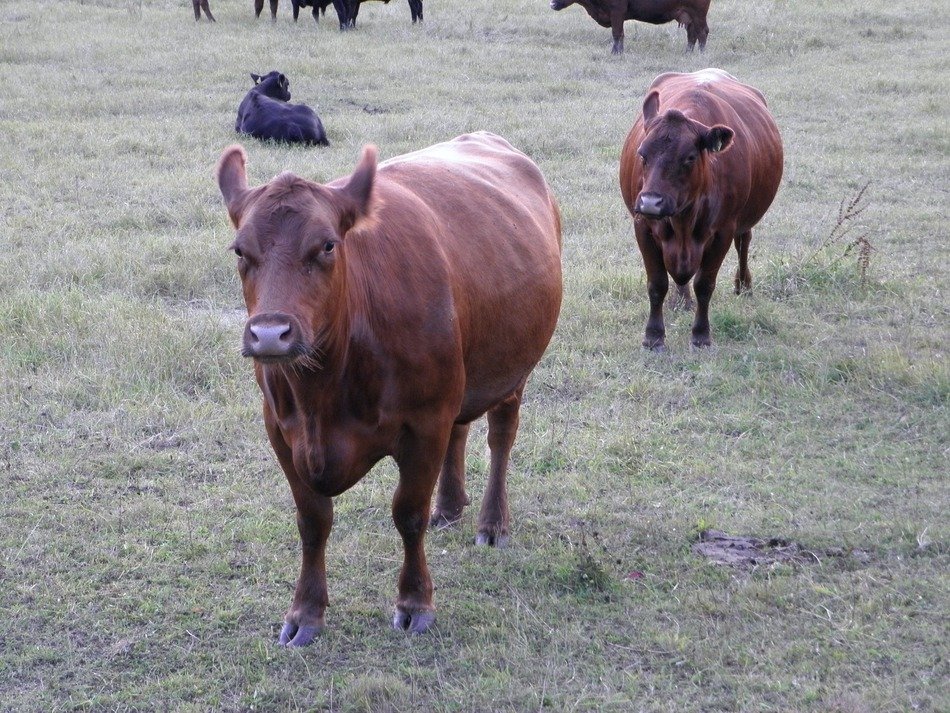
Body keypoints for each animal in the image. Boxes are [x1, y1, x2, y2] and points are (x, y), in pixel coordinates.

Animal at [216, 132, 563, 646]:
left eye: (327, 245)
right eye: (240, 251)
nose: (270, 334)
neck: (323, 394)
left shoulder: (424, 424)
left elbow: (408, 514)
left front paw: (415, 602)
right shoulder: (280, 429)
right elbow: (312, 521)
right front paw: (305, 612)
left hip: (513, 369)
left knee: (501, 435)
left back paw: (492, 522)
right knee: (461, 429)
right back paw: (450, 507)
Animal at [550, 0, 710, 55]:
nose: (551, 3)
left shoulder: (616, 11)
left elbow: (617, 33)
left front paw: (616, 53)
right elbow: (620, 34)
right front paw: (618, 52)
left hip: (698, 13)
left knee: (702, 32)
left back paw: (701, 53)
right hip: (688, 16)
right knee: (692, 34)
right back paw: (688, 52)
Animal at [619, 69, 783, 349]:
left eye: (689, 157)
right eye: (642, 154)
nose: (651, 202)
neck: (684, 219)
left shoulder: (722, 232)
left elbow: (705, 284)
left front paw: (701, 335)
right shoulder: (643, 227)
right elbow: (657, 283)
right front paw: (653, 335)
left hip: (744, 221)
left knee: (744, 242)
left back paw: (744, 285)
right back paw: (681, 300)